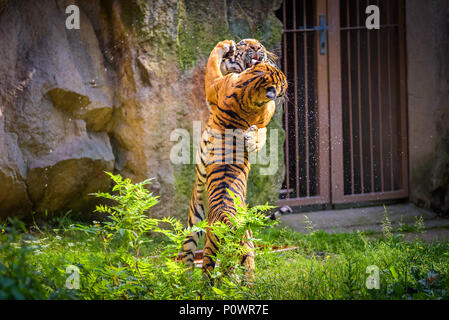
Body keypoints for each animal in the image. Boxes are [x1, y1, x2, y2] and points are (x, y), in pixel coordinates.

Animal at [182, 39, 288, 282]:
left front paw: (224, 44)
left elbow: (212, 60)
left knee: (197, 259)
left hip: (200, 225)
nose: (257, 47)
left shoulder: (214, 84)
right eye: (245, 44)